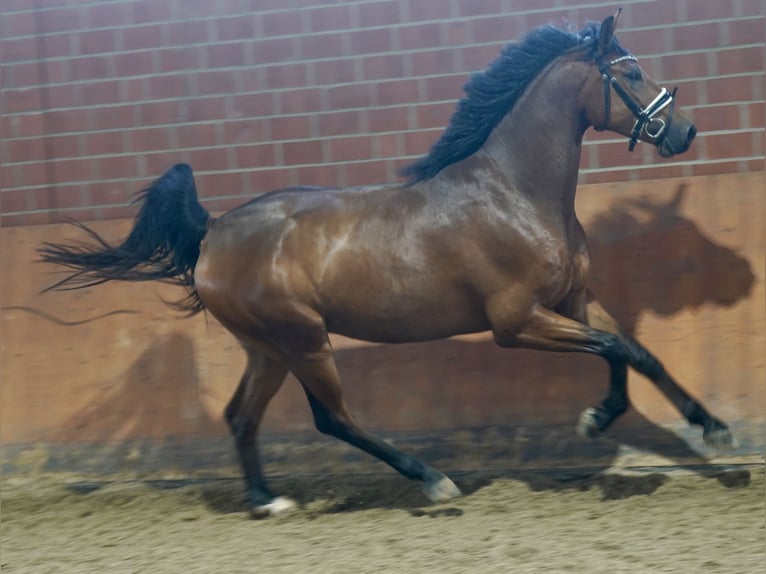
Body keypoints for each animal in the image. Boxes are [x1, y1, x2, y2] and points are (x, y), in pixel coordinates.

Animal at [39, 11, 735, 517]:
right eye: (633, 72)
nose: (686, 131)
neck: (516, 191)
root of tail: (213, 231)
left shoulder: (571, 300)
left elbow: (632, 352)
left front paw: (693, 426)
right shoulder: (517, 323)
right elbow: (621, 348)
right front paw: (629, 422)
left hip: (267, 348)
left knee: (240, 416)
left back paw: (267, 502)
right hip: (302, 339)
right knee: (332, 417)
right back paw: (433, 481)